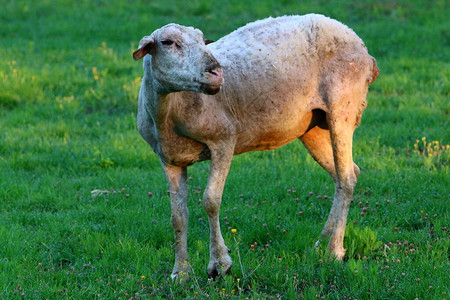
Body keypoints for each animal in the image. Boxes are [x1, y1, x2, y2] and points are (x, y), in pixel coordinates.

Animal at [132, 12, 378, 278]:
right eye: (168, 42)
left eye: (201, 39)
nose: (216, 72)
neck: (170, 111)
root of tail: (362, 47)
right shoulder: (169, 159)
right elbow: (178, 216)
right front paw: (181, 272)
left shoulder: (224, 139)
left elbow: (210, 201)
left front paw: (219, 264)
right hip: (312, 127)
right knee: (345, 175)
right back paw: (322, 241)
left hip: (343, 107)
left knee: (347, 178)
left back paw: (334, 250)